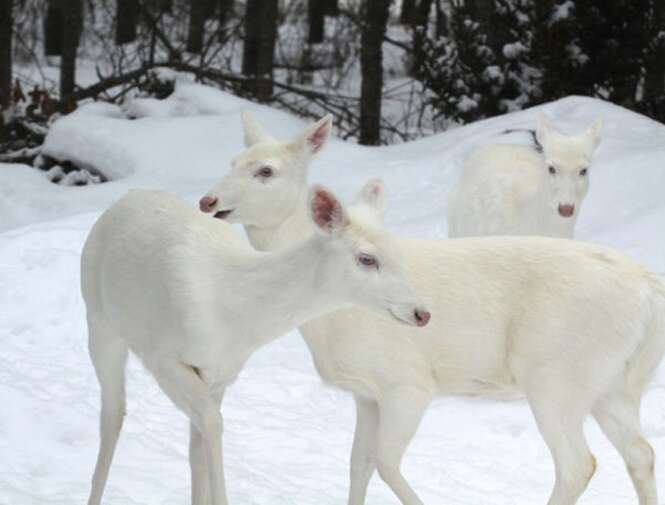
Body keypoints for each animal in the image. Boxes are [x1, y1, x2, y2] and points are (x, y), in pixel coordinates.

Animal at [80, 185, 428, 504]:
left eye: (400, 254)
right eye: (367, 258)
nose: (422, 312)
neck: (236, 315)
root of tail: (124, 198)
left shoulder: (221, 371)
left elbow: (203, 440)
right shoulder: (162, 354)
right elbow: (213, 424)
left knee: (190, 443)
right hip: (99, 319)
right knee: (113, 414)